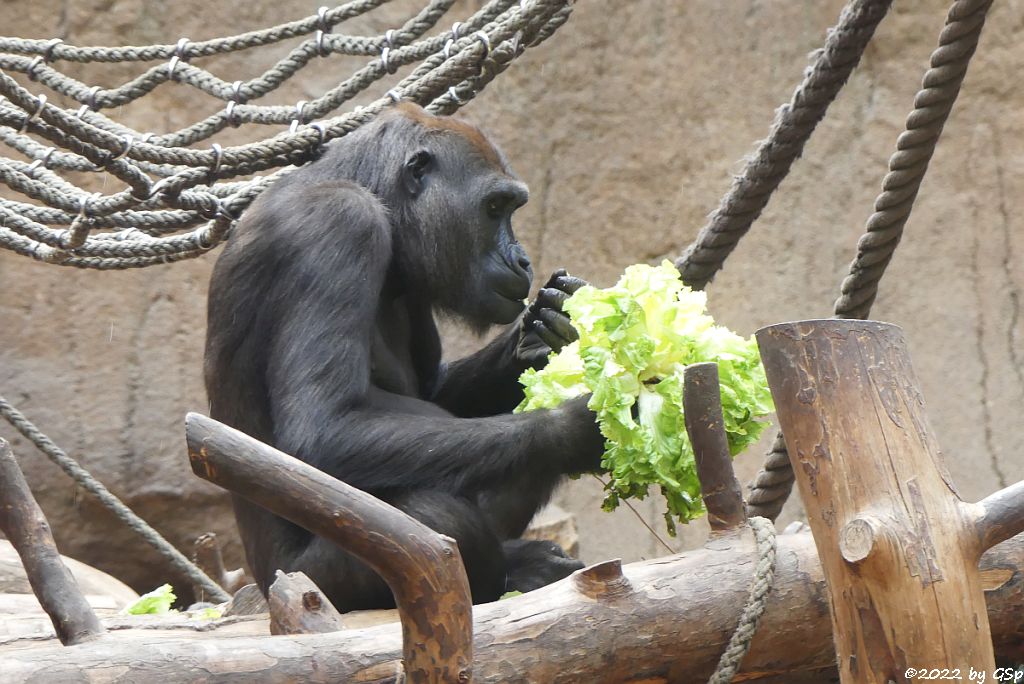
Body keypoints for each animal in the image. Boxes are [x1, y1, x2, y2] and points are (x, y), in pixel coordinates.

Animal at [205, 102, 606, 614]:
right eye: (494, 208)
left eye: (510, 208)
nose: (522, 261)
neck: (371, 191)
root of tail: (260, 589)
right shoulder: (341, 223)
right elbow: (324, 427)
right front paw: (575, 429)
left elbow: (439, 392)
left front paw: (541, 334)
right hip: (306, 581)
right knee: (436, 516)